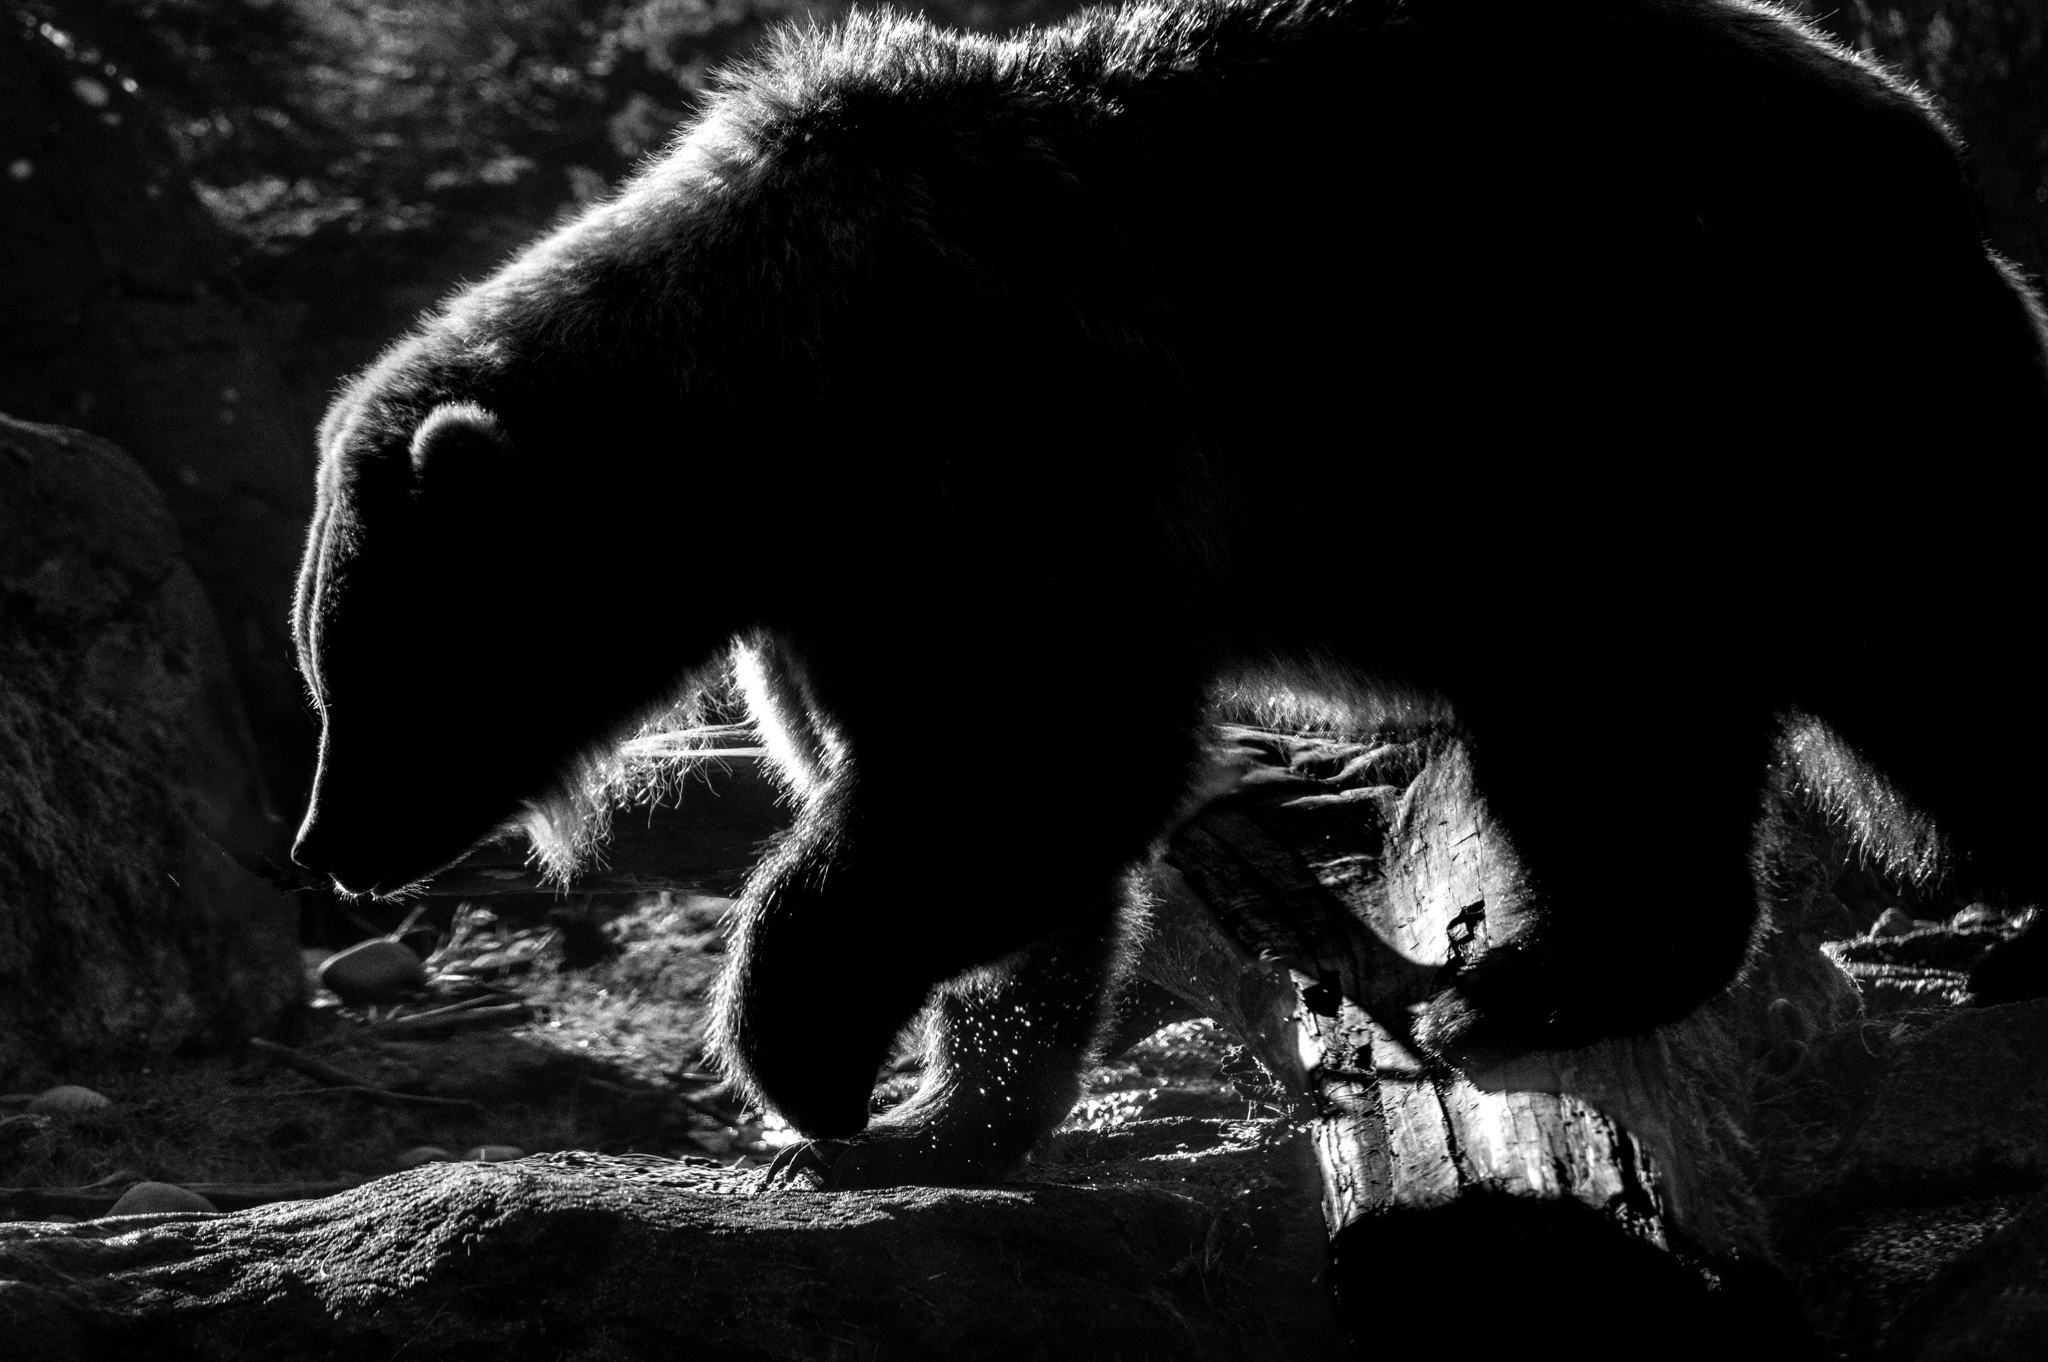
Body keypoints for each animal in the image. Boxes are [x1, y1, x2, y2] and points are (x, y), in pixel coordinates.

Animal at [291, 0, 2048, 1188]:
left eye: (361, 671)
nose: (326, 844)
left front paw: (809, 1076)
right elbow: (979, 812)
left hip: (1669, 404)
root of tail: (1933, 162)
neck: (752, 424)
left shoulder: (982, 431)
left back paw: (1550, 972)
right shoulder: (854, 575)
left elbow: (1030, 753)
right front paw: (934, 1113)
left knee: (1749, 691)